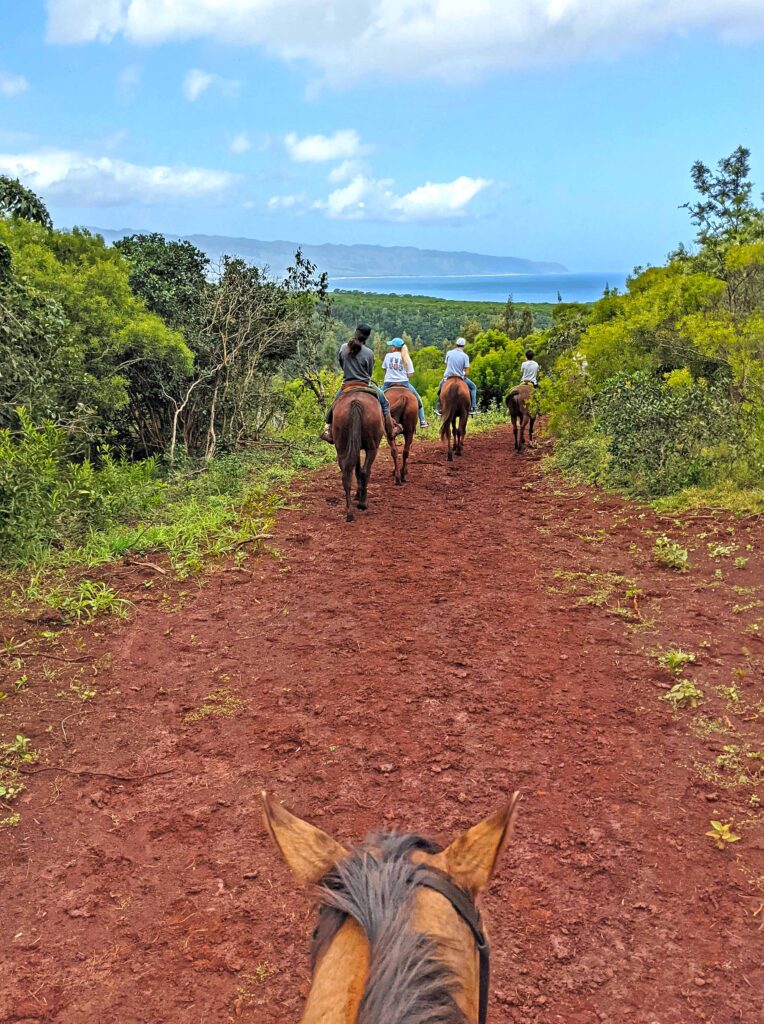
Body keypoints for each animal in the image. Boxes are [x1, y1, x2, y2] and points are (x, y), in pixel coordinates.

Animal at [331, 389, 393, 524]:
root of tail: (356, 402)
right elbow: (361, 471)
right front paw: (360, 497)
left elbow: (357, 470)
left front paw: (357, 494)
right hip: (372, 448)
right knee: (365, 471)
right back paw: (363, 504)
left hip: (342, 448)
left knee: (346, 476)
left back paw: (349, 513)